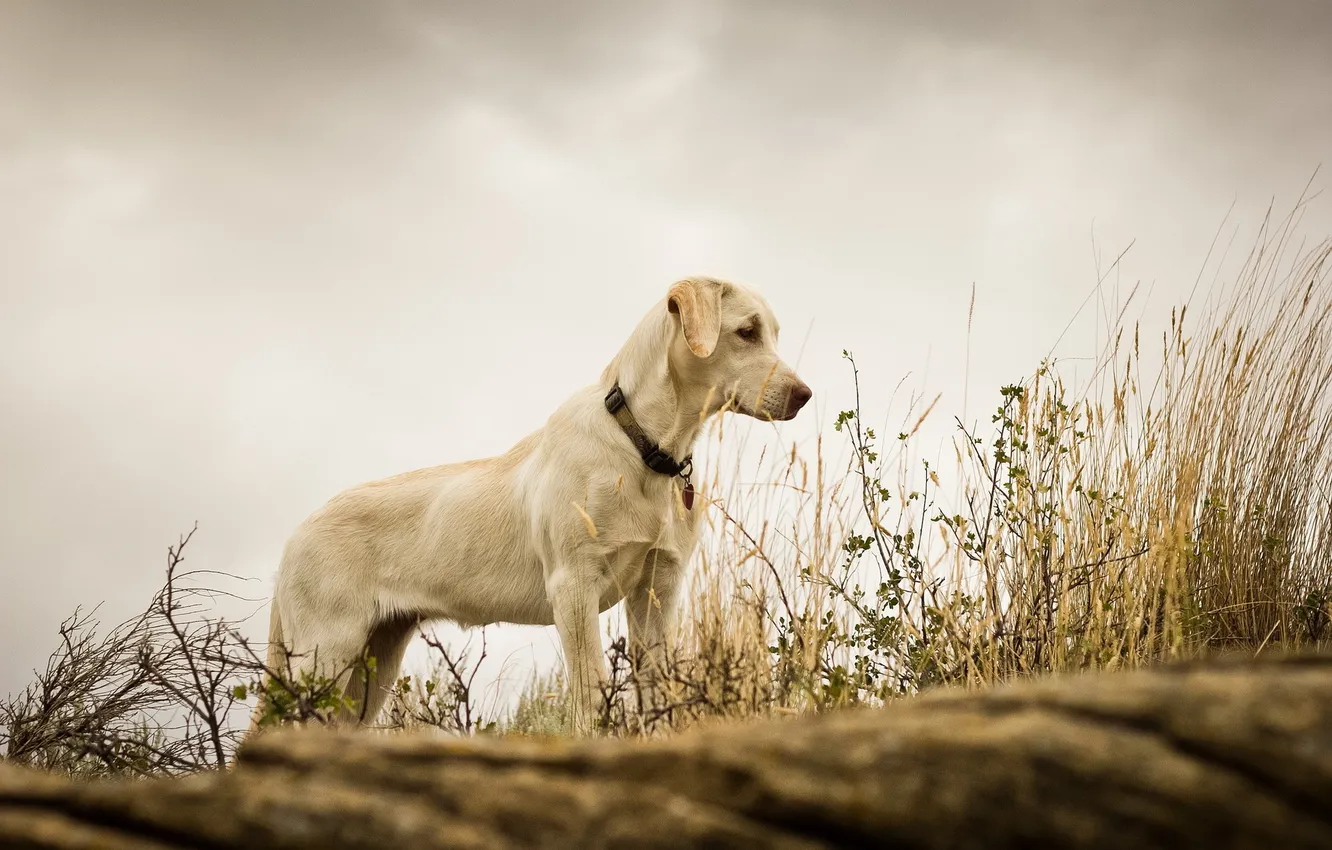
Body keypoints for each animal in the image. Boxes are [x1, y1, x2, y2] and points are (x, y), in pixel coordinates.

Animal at [250, 277, 809, 735]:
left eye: (773, 334)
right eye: (746, 331)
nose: (804, 395)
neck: (646, 447)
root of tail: (296, 533)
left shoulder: (658, 589)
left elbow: (656, 694)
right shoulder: (573, 585)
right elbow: (591, 697)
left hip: (373, 662)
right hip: (324, 653)